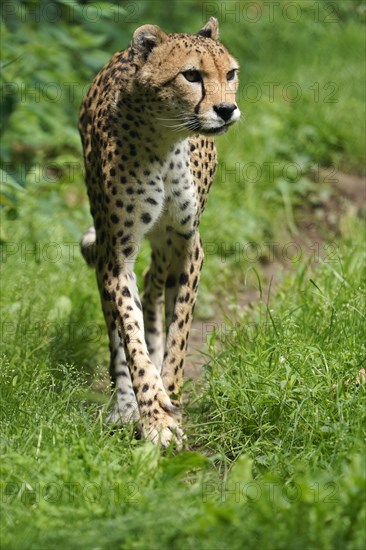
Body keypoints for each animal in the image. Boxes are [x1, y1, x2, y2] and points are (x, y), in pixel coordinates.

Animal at [79, 17, 240, 448]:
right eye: (191, 75)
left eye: (230, 74)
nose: (227, 109)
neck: (165, 141)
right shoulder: (116, 254)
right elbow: (131, 337)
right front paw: (153, 415)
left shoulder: (187, 243)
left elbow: (179, 333)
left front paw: (171, 392)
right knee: (120, 320)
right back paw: (123, 404)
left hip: (166, 242)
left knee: (154, 281)